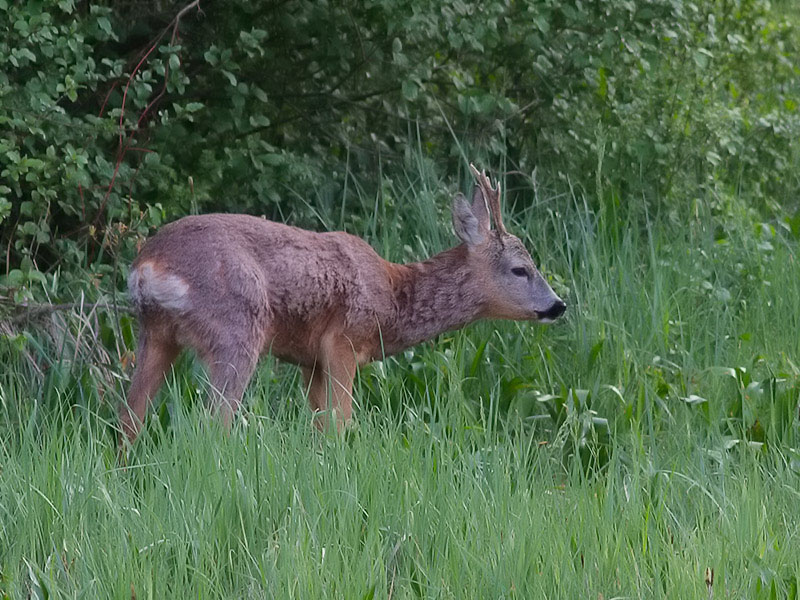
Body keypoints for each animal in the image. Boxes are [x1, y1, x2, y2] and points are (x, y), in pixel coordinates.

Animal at [122, 164, 564, 440]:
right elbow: (342, 423)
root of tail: (149, 266)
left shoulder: (310, 361)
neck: (392, 298)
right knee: (214, 421)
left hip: (155, 333)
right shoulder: (344, 341)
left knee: (130, 416)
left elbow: (320, 425)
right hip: (237, 328)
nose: (558, 305)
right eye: (520, 269)